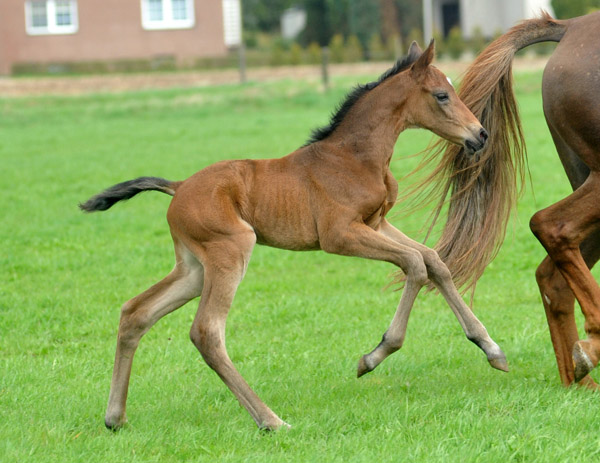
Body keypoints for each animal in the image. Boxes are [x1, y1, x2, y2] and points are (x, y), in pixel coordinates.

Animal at [78, 41, 502, 434]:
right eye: (442, 94)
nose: (480, 134)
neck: (355, 156)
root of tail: (178, 186)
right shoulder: (340, 235)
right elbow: (414, 264)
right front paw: (375, 355)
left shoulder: (377, 223)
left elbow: (434, 260)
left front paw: (491, 348)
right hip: (231, 250)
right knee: (207, 332)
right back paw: (270, 420)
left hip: (194, 267)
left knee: (136, 312)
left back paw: (115, 417)